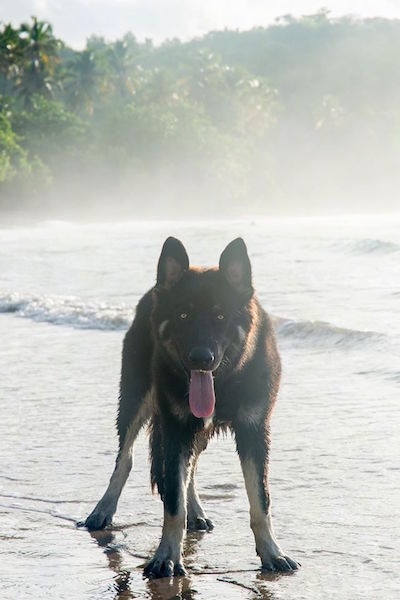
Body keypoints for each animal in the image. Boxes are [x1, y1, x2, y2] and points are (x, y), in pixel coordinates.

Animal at [81, 237, 298, 580]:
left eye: (221, 317)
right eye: (183, 315)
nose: (201, 358)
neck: (226, 380)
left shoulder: (254, 431)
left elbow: (260, 499)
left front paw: (271, 552)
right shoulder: (175, 429)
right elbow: (173, 502)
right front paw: (167, 556)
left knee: (192, 466)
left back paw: (196, 511)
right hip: (135, 400)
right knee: (125, 458)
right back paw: (103, 510)